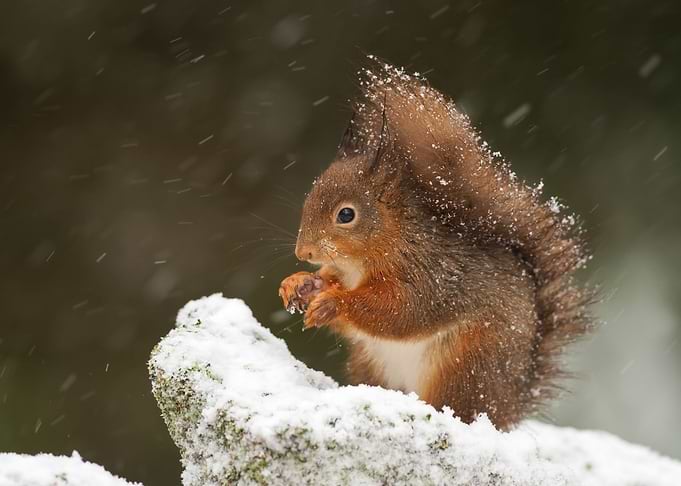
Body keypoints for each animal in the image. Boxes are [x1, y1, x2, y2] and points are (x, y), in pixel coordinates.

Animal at [279, 58, 593, 430]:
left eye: (346, 214)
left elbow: (400, 312)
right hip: (371, 363)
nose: (304, 253)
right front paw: (299, 283)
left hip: (466, 367)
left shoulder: (430, 275)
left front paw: (334, 303)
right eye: (309, 198)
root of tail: (509, 404)